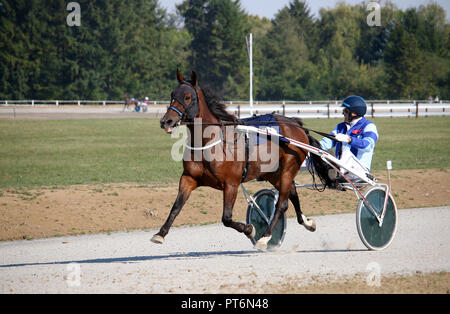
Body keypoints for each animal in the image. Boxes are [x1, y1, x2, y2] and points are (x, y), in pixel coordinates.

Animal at [151, 70, 330, 251]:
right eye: (172, 94)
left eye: (187, 97)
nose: (166, 121)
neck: (209, 142)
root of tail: (295, 124)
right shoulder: (189, 178)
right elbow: (176, 206)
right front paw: (160, 233)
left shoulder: (231, 184)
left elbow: (226, 218)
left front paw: (250, 230)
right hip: (273, 173)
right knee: (292, 194)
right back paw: (307, 222)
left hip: (288, 168)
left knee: (282, 204)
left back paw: (264, 237)